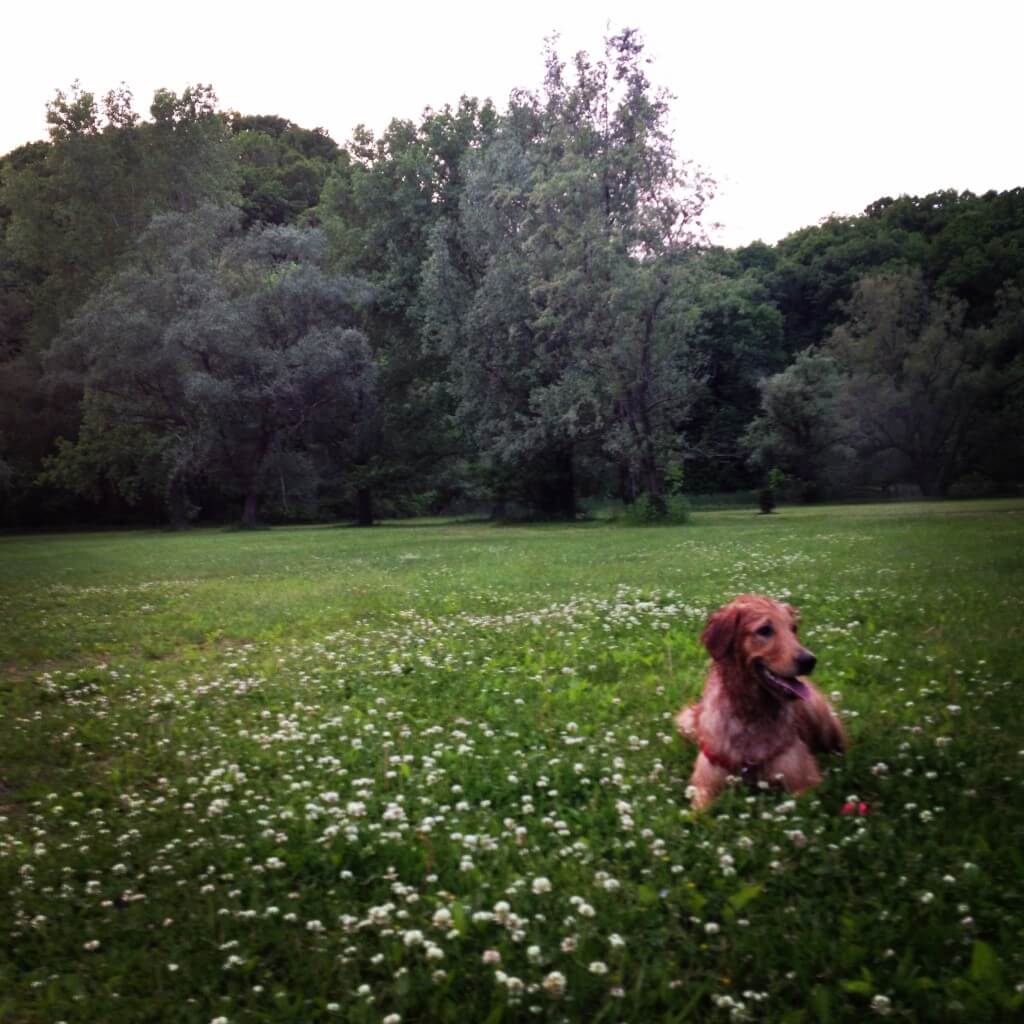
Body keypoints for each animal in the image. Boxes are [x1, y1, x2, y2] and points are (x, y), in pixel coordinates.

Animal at [671, 598, 847, 811]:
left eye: (793, 628)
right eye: (764, 630)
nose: (809, 660)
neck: (750, 712)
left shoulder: (805, 781)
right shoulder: (705, 783)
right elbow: (700, 811)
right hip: (687, 721)